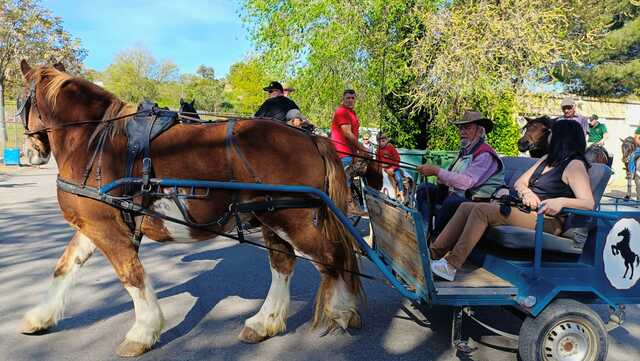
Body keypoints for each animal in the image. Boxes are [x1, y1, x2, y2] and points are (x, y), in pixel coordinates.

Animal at [16, 60, 364, 356]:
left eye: (20, 100)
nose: (29, 154)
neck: (93, 141)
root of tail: (310, 138)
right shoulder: (93, 224)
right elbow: (65, 267)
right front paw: (40, 317)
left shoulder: (106, 229)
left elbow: (131, 276)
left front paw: (142, 332)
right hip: (271, 216)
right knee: (284, 264)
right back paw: (264, 322)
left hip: (291, 219)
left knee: (334, 256)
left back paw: (342, 310)